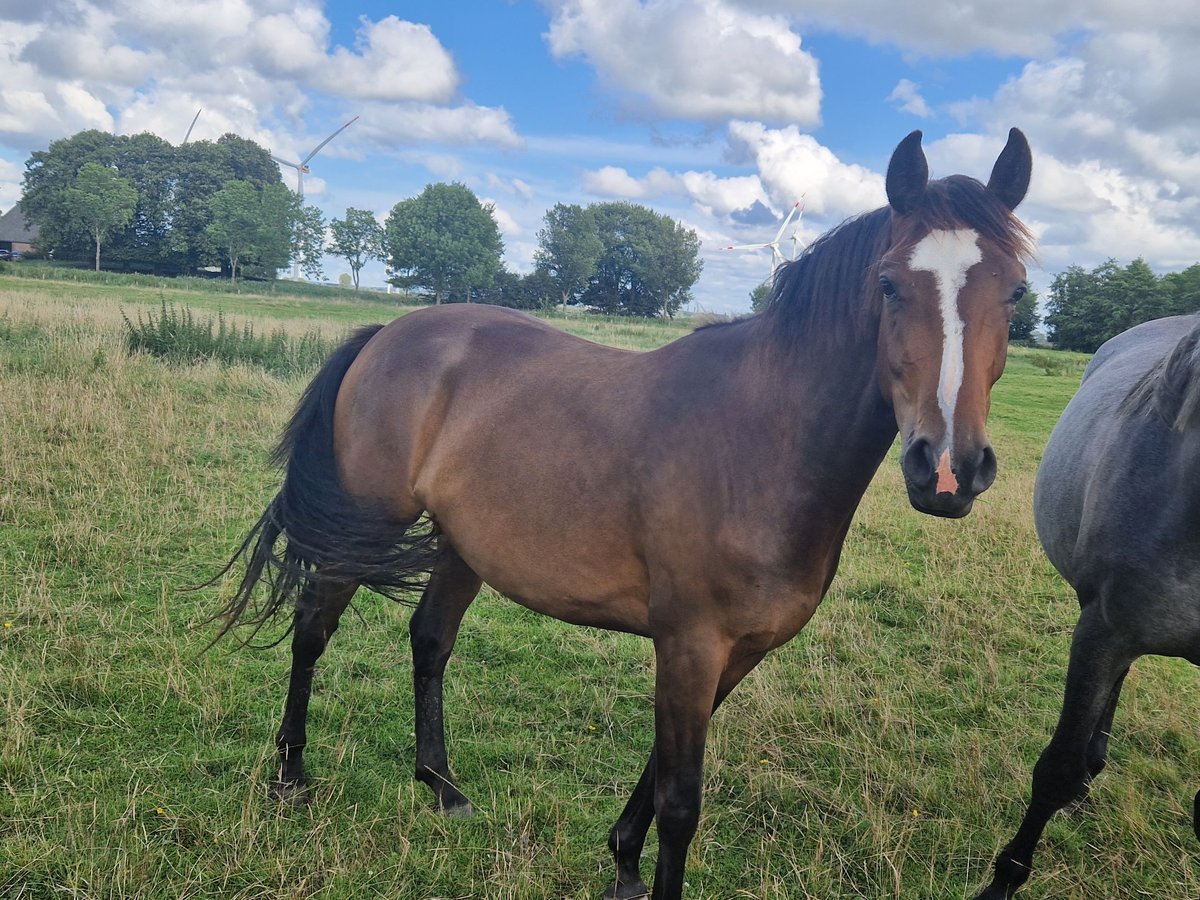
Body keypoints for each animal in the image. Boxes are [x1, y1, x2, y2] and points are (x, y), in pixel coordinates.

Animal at [213, 128, 1032, 900]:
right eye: (890, 285)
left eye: (1017, 293)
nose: (947, 470)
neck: (760, 439)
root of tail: (387, 334)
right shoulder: (690, 644)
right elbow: (681, 802)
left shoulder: (733, 653)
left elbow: (658, 774)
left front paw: (623, 862)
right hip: (364, 524)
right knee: (313, 627)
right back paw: (291, 777)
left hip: (462, 546)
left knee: (430, 641)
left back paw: (443, 790)